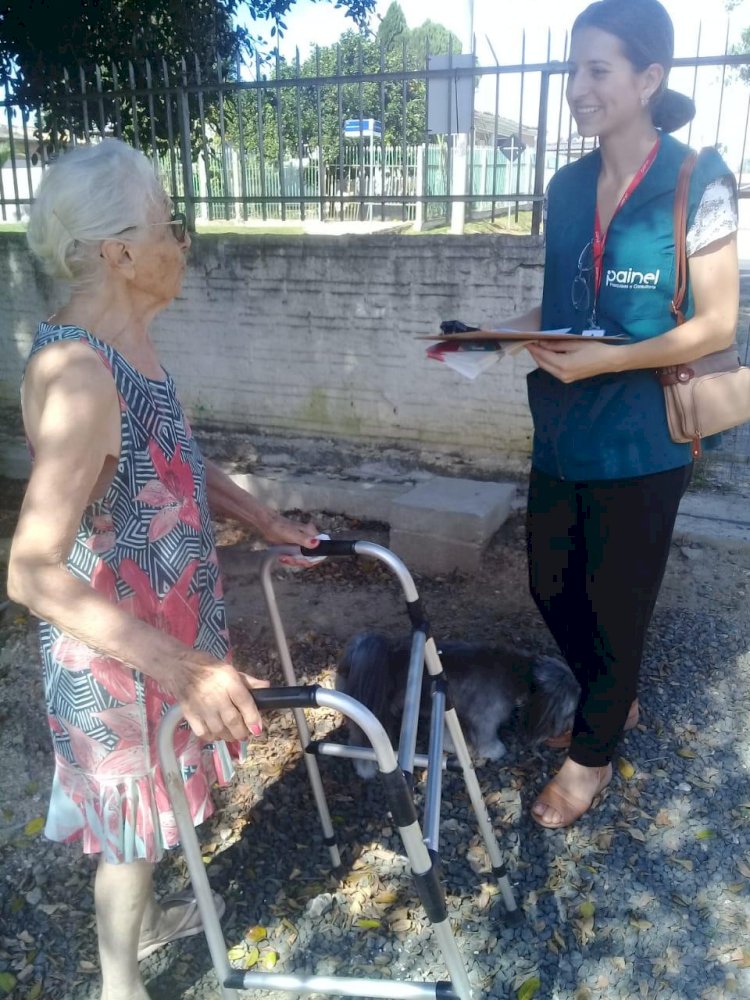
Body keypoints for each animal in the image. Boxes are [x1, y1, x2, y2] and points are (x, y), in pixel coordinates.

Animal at [338, 632, 584, 772]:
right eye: (571, 710)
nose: (569, 728)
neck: (516, 671)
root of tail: (358, 651)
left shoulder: (451, 710)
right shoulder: (485, 717)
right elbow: (487, 740)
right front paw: (495, 751)